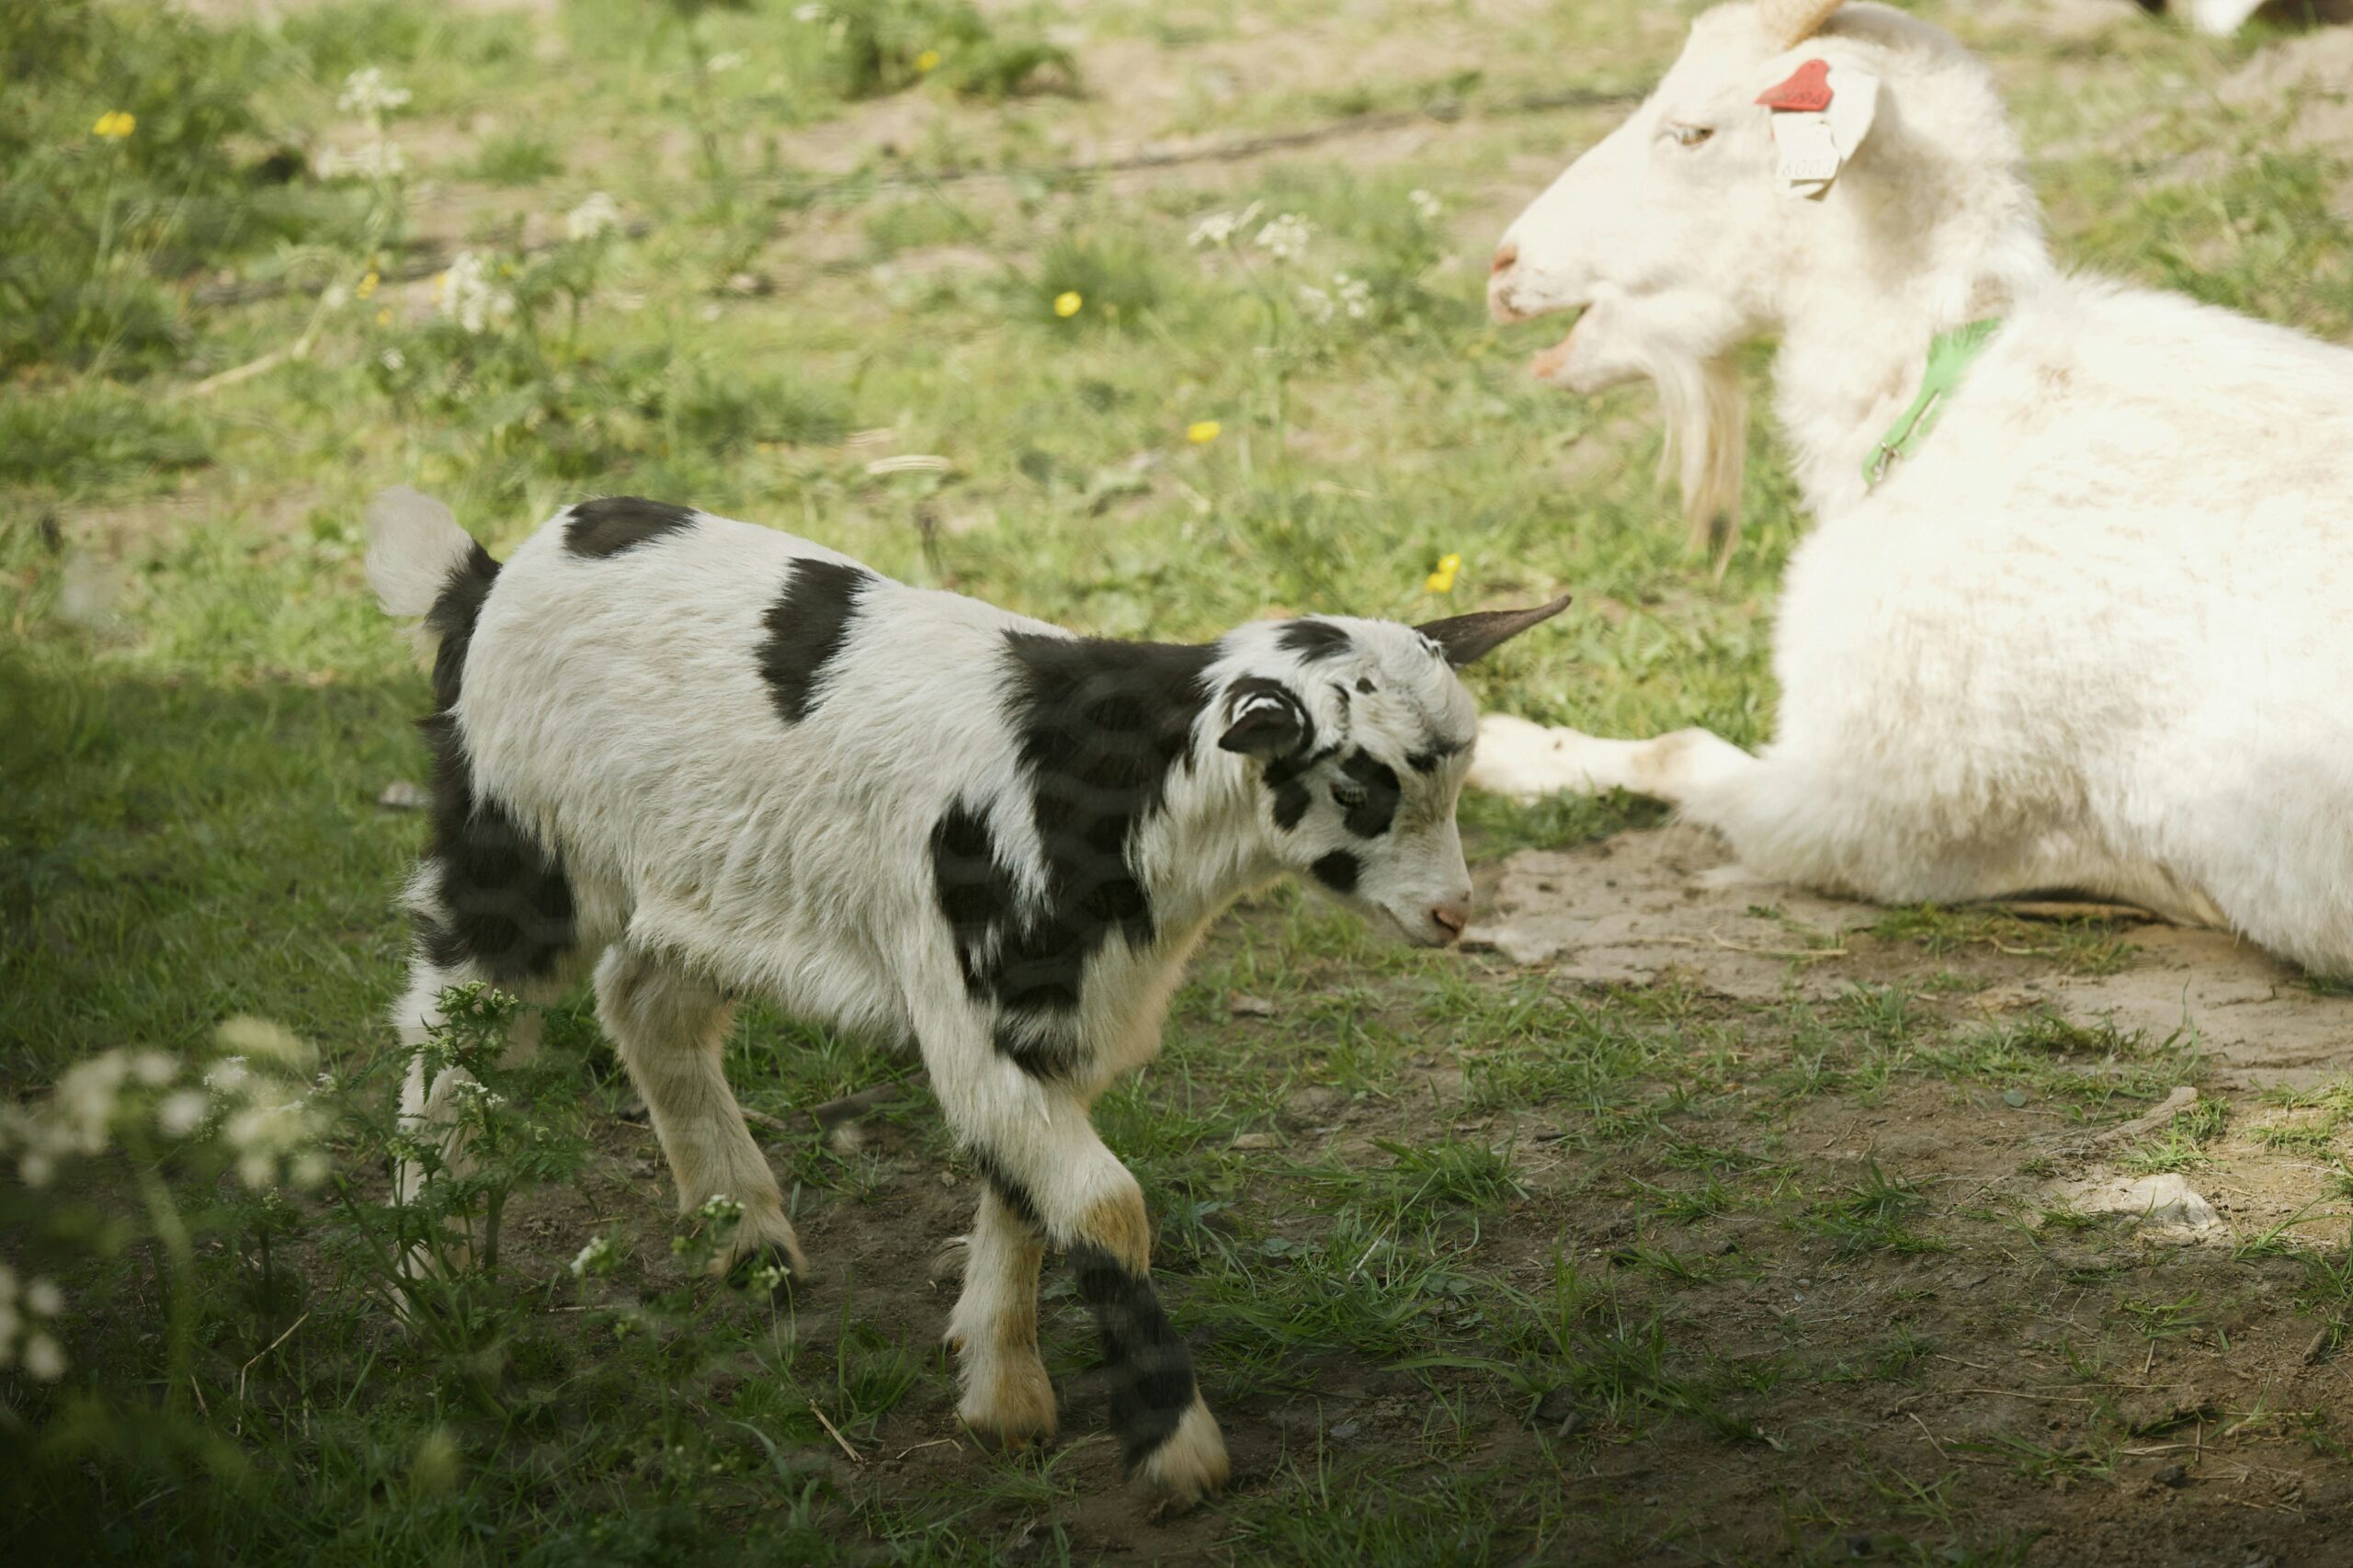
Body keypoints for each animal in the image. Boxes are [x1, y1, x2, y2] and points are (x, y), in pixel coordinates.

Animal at [1477, 0, 2343, 970]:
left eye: (1692, 130)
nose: (1505, 265)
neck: (1928, 395)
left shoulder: (1864, 809)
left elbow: (1678, 751)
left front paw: (1504, 748)